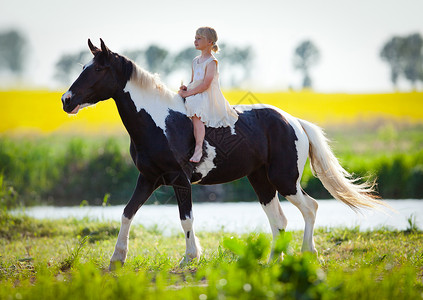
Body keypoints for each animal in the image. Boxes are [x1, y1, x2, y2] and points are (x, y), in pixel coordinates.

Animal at [62, 39, 384, 268]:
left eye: (97, 69)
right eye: (83, 67)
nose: (66, 100)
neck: (159, 121)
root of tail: (293, 121)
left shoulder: (180, 180)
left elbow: (186, 219)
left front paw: (189, 259)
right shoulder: (148, 179)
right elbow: (127, 213)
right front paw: (117, 259)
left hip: (285, 180)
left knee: (310, 208)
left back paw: (308, 254)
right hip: (261, 181)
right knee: (279, 220)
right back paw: (272, 261)